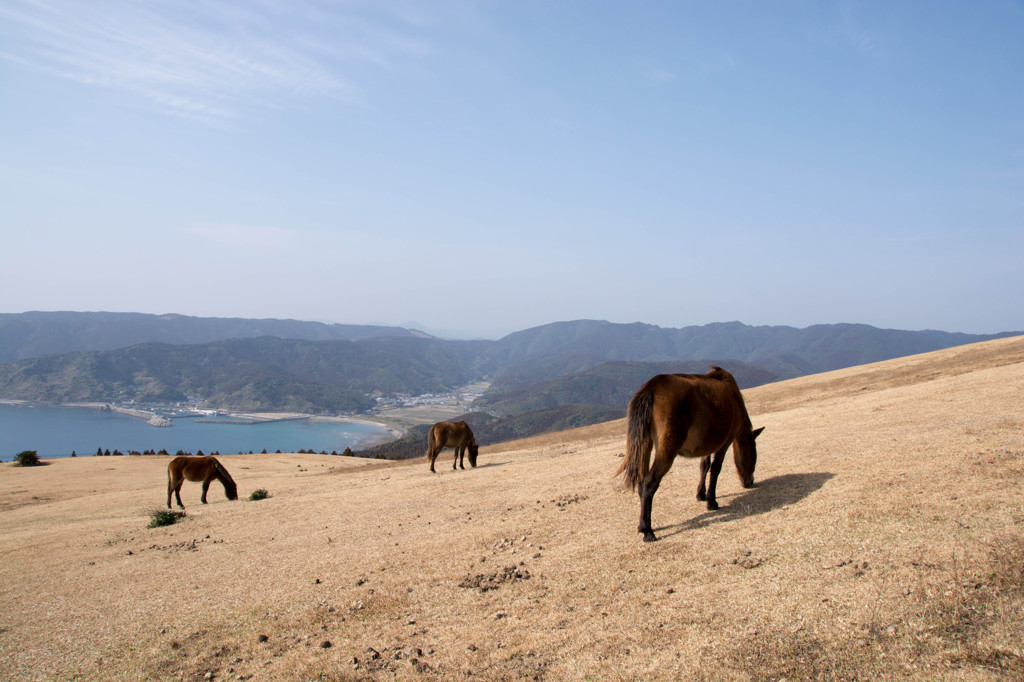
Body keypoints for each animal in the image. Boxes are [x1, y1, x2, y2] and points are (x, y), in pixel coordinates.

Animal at [610, 366, 765, 540]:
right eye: (753, 457)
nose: (749, 482)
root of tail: (651, 388)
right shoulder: (724, 443)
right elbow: (715, 469)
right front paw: (712, 502)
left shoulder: (708, 445)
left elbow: (704, 466)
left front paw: (701, 494)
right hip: (667, 447)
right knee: (650, 482)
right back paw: (647, 530)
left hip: (645, 444)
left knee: (641, 482)